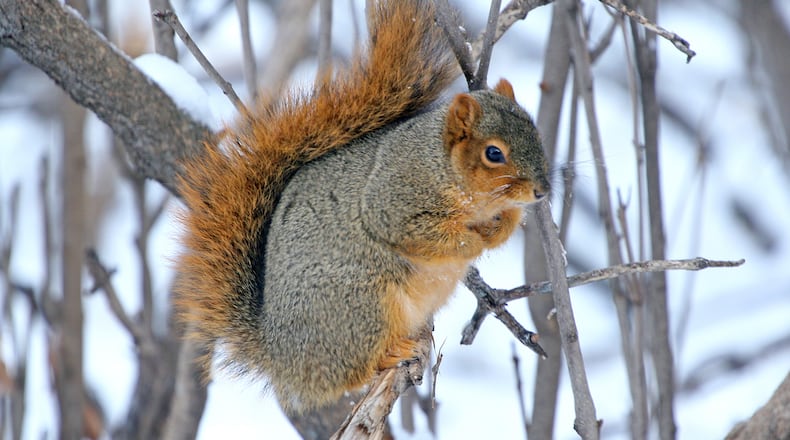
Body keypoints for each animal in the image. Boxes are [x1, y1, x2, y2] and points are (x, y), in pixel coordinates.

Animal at [175, 0, 549, 413]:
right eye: (493, 153)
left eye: (536, 131)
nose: (542, 191)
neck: (447, 170)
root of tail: (280, 356)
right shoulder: (393, 200)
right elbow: (421, 234)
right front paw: (473, 243)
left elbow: (505, 223)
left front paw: (498, 229)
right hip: (363, 305)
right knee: (348, 374)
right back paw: (390, 354)